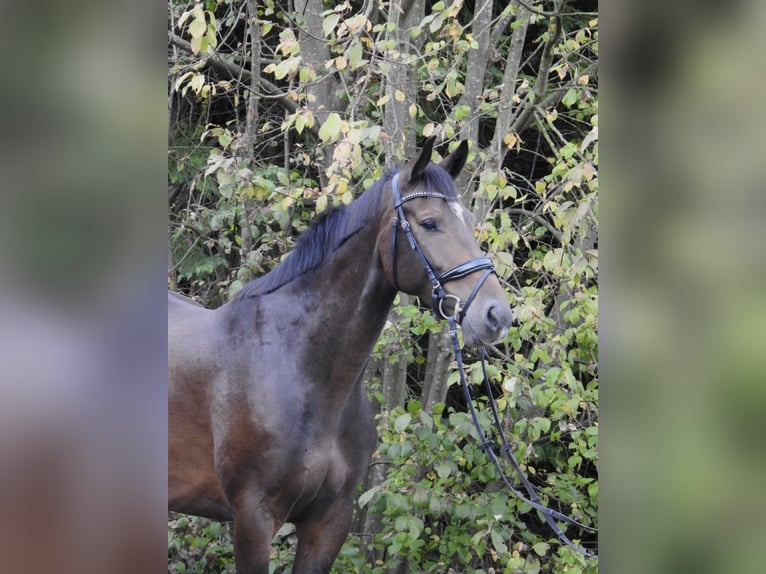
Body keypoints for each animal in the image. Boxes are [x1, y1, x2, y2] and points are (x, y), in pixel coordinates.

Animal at [169, 140, 516, 574]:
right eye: (430, 223)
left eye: (468, 221)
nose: (496, 315)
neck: (302, 368)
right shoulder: (253, 517)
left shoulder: (329, 520)